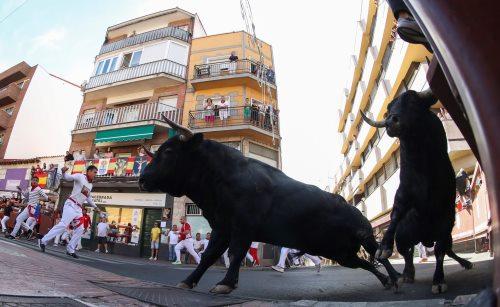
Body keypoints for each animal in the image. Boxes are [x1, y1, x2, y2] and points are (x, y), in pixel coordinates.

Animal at [139, 118, 400, 296]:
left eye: (168, 151)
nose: (142, 179)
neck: (221, 177)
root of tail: (352, 206)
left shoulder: (243, 227)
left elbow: (235, 254)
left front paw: (225, 283)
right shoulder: (222, 228)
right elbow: (208, 256)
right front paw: (189, 281)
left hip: (364, 235)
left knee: (379, 254)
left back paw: (396, 277)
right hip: (341, 253)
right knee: (365, 262)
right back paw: (385, 281)